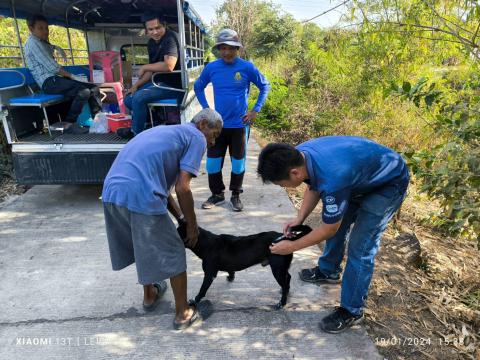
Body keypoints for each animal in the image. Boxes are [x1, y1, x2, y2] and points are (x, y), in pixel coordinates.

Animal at [178, 224, 314, 308]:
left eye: (178, 234)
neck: (206, 243)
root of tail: (287, 239)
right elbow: (231, 271)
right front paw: (230, 278)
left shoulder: (209, 274)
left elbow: (202, 289)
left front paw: (194, 301)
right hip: (282, 267)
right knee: (288, 278)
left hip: (277, 269)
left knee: (285, 283)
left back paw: (282, 303)